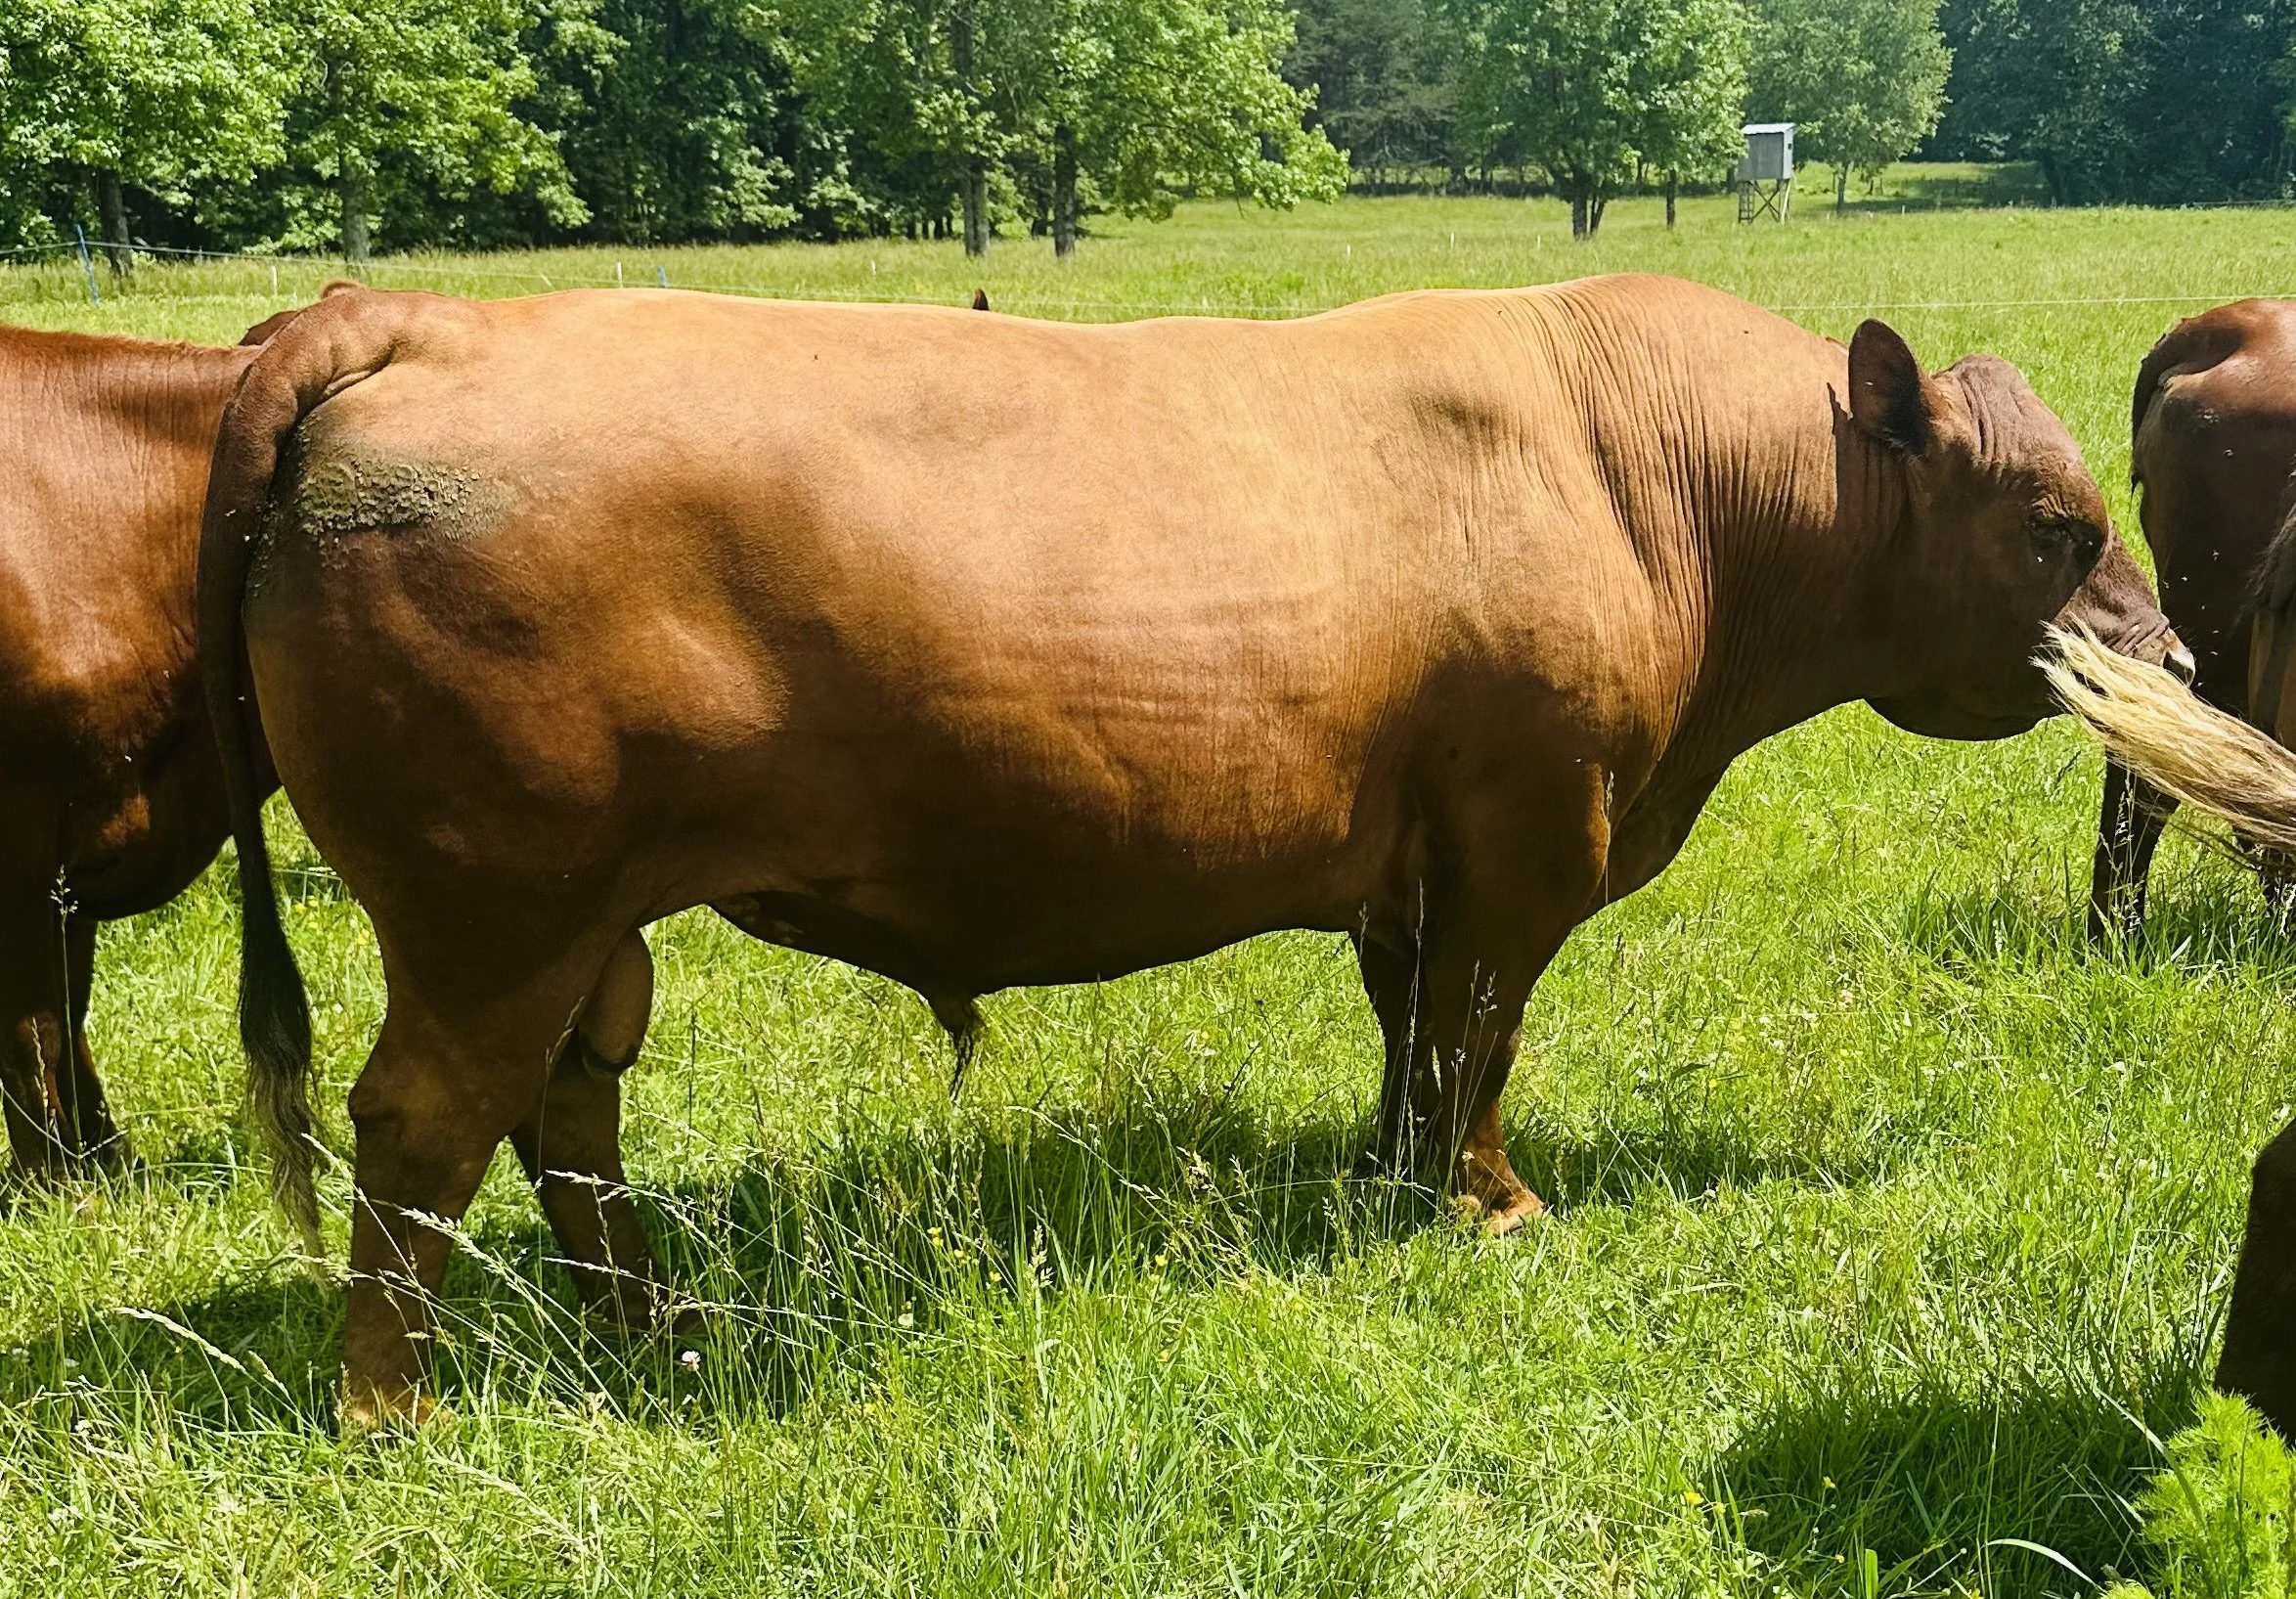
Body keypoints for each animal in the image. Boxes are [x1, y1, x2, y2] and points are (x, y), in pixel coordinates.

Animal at [196, 276, 2180, 1426]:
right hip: (492, 904)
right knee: (425, 1123)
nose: (2162, 655)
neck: (1654, 473)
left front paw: (1392, 1184)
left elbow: (1411, 1028)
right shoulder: (1530, 827)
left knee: (565, 1109)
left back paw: (656, 1326)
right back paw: (396, 1412)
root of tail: (410, 317)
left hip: (584, 917)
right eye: (2051, 522)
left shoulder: (1411, 852)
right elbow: (1479, 1032)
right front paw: (1491, 1202)